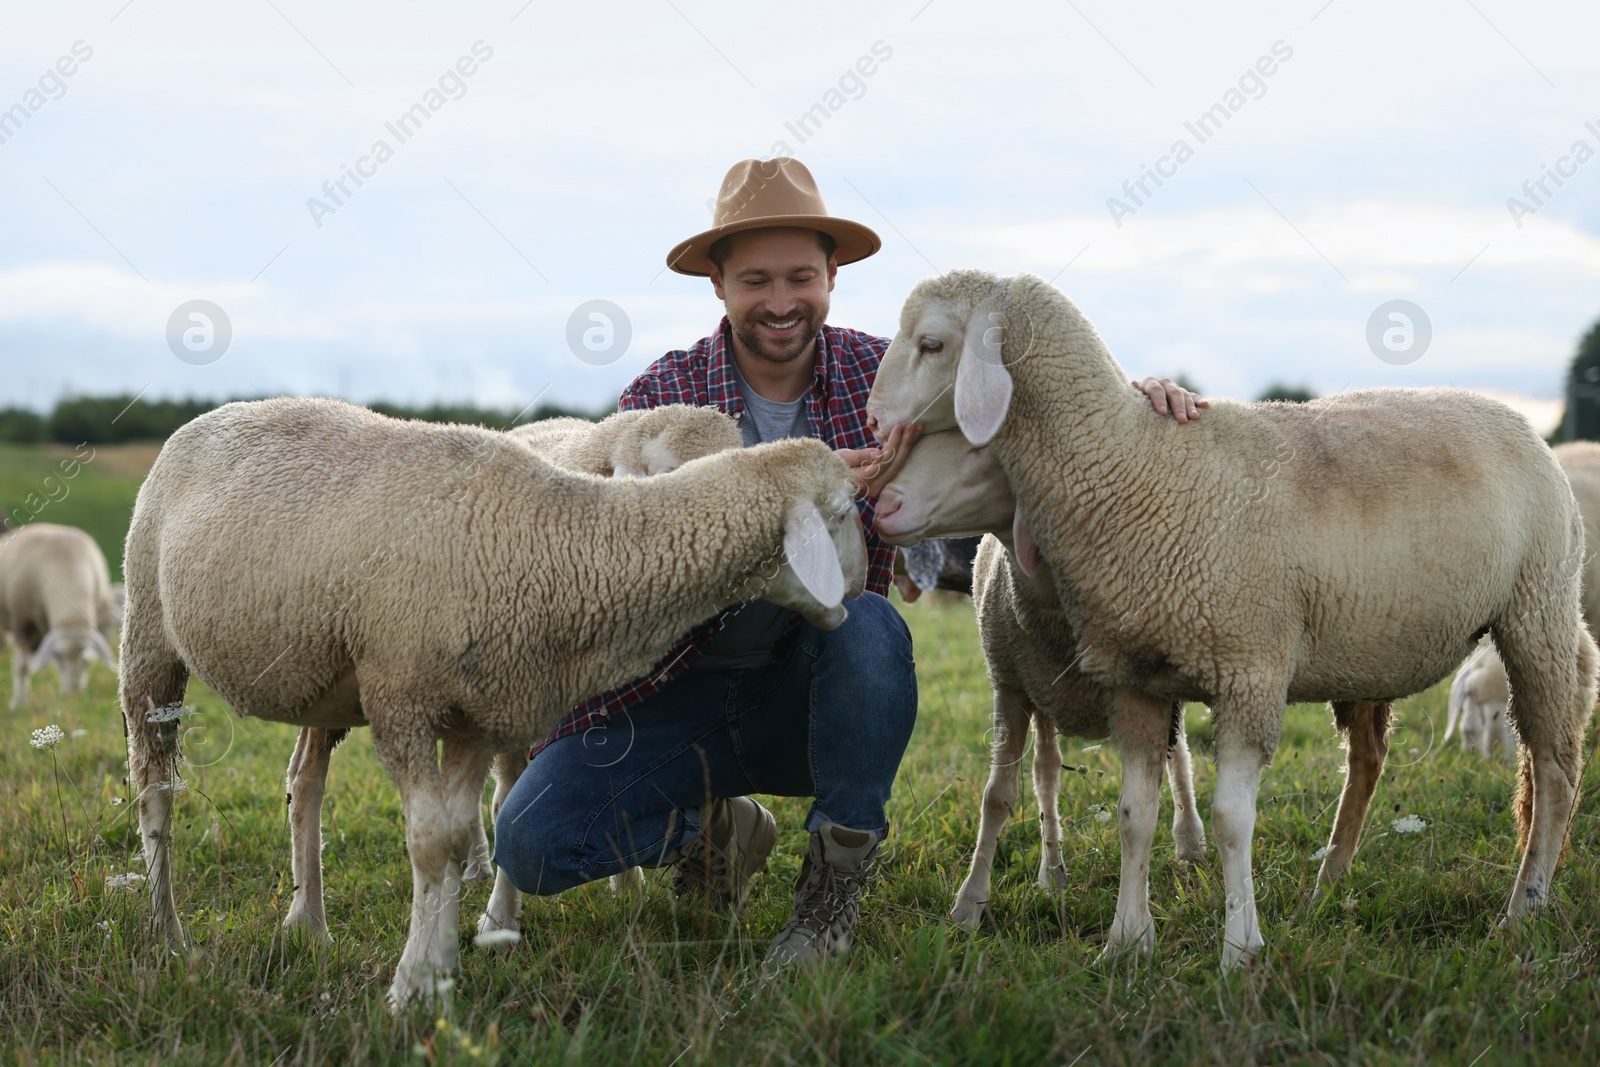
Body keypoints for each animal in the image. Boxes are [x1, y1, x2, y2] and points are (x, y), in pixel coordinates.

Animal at [0, 521, 117, 703]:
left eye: (87, 657)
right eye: (58, 655)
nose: (73, 694)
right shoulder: (22, 624)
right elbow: (22, 665)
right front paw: (20, 702)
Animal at [121, 396, 876, 1004]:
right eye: (842, 510)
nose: (862, 589)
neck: (556, 540)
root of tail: (219, 411)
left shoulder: (478, 714)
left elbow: (459, 840)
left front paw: (444, 962)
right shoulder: (402, 697)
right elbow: (431, 844)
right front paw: (413, 987)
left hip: (325, 676)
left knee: (304, 782)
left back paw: (308, 923)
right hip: (150, 635)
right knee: (155, 791)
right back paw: (167, 934)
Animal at [876, 428, 1203, 927]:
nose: (883, 506)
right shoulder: (1010, 685)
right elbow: (998, 796)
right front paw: (970, 903)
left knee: (1179, 756)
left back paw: (1191, 843)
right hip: (1043, 689)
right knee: (1046, 771)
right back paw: (1053, 871)